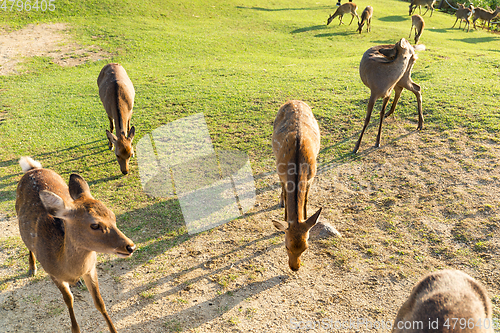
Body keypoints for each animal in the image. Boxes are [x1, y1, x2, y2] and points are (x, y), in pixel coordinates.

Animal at [16, 156, 136, 332]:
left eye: (113, 215)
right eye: (95, 225)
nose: (130, 246)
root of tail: (32, 168)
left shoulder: (91, 268)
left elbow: (100, 302)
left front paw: (114, 329)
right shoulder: (53, 274)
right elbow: (68, 300)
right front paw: (75, 328)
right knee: (27, 244)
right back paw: (32, 268)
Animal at [272, 100, 322, 270]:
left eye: (306, 247)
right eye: (286, 246)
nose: (295, 267)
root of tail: (294, 101)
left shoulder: (312, 176)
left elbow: (305, 198)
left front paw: (305, 215)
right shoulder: (281, 174)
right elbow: (286, 196)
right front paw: (286, 215)